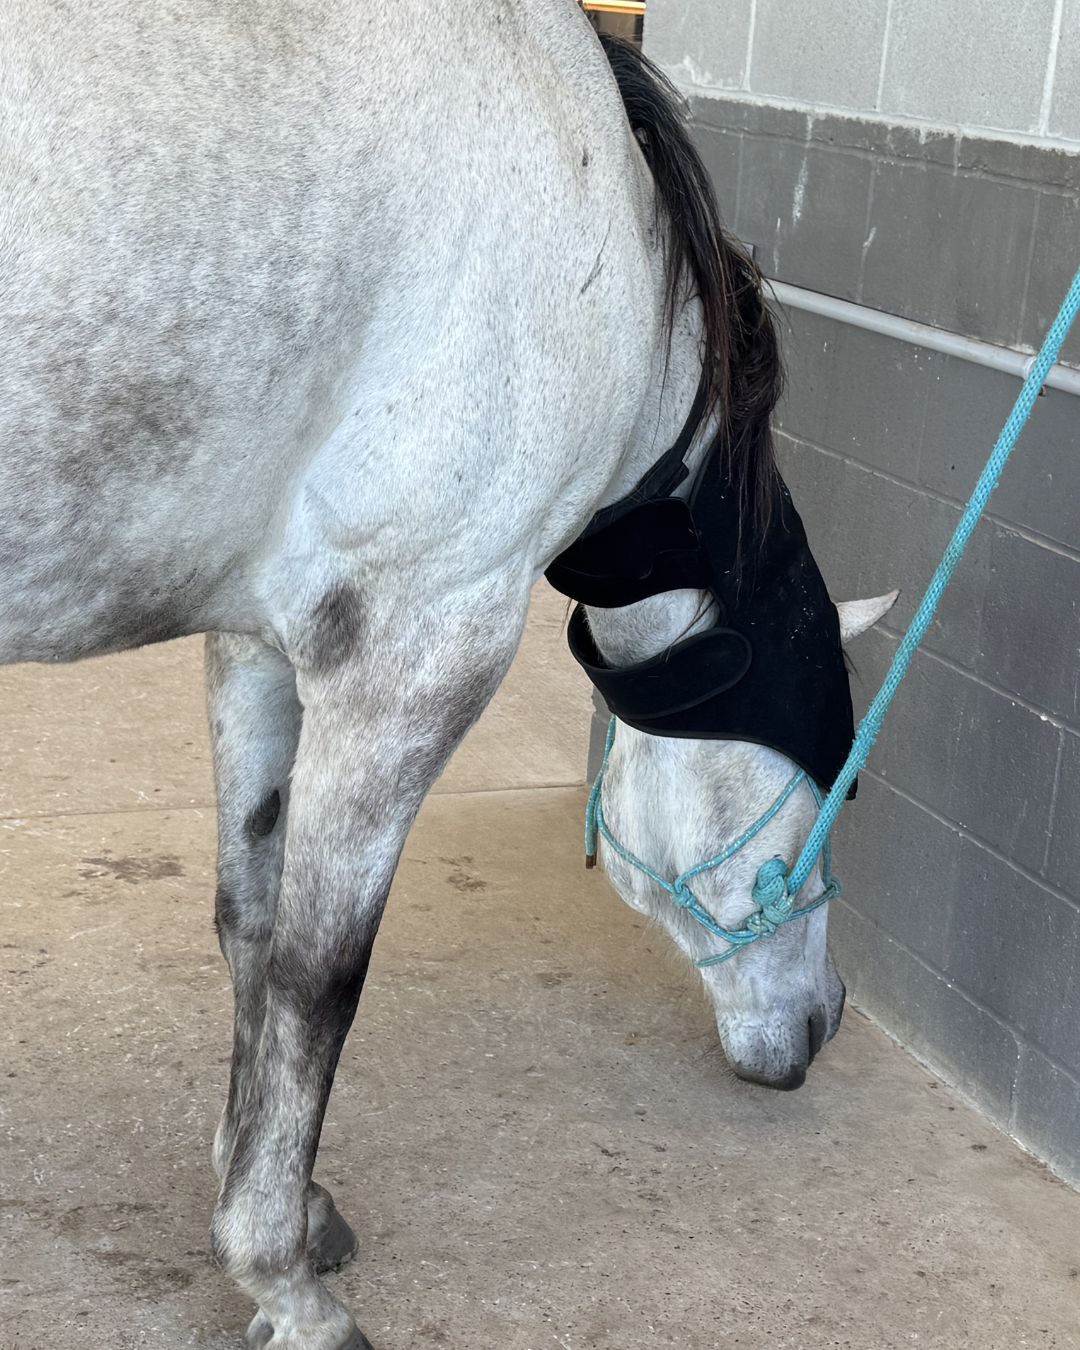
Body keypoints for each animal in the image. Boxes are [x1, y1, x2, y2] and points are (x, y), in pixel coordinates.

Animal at [0, 2, 895, 1345]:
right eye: (834, 783)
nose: (824, 1022)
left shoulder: (261, 643)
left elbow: (251, 921)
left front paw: (274, 1189)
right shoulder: (413, 651)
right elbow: (320, 975)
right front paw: (283, 1278)